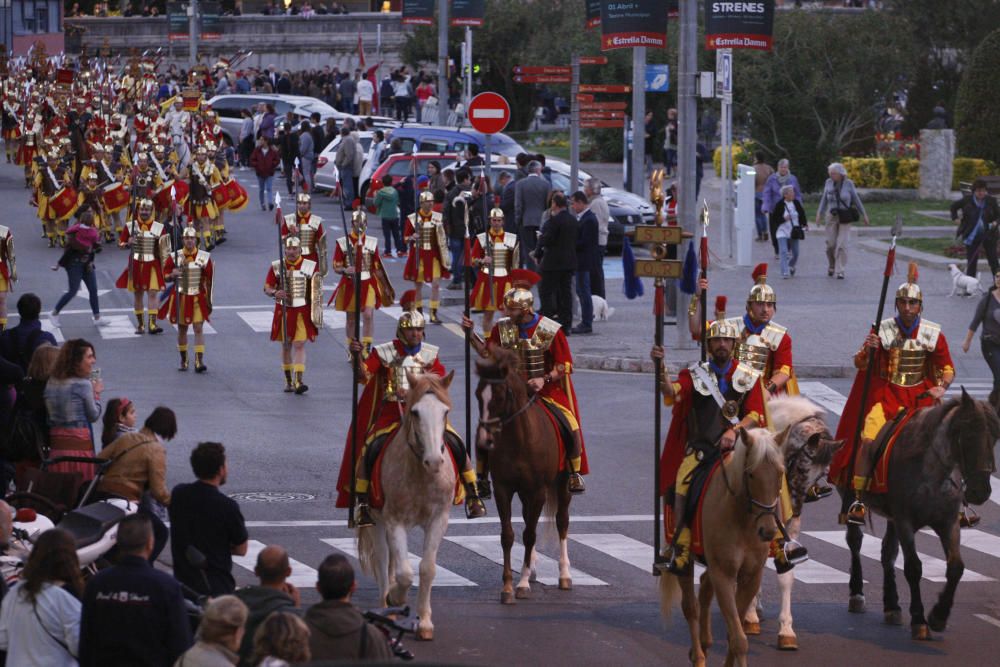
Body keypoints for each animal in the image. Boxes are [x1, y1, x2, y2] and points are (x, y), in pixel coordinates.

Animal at [358, 374, 456, 640]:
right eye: (415, 412)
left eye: (445, 412)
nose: (434, 462)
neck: (421, 474)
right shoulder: (394, 521)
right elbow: (404, 573)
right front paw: (394, 597)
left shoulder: (438, 520)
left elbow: (427, 568)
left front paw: (425, 623)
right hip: (376, 520)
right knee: (383, 562)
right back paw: (386, 607)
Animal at [474, 350, 576, 604]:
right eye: (478, 395)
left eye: (500, 396)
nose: (484, 440)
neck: (519, 440)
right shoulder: (504, 489)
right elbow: (508, 535)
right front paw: (508, 586)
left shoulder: (538, 490)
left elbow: (529, 534)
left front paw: (521, 585)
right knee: (529, 517)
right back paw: (532, 569)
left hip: (562, 484)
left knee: (562, 521)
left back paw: (564, 574)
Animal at [664, 428, 788, 667]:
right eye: (751, 474)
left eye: (779, 473)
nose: (768, 531)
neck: (742, 519)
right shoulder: (724, 574)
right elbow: (738, 639)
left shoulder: (751, 577)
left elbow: (734, 632)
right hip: (687, 559)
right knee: (690, 607)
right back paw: (698, 655)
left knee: (704, 588)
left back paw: (704, 643)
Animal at [744, 400, 844, 648]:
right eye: (802, 468)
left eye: (823, 473)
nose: (797, 507)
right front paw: (748, 616)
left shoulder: (788, 527)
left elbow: (786, 576)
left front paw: (786, 629)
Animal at [836, 392, 1000, 640]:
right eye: (969, 434)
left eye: (996, 436)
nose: (980, 491)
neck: (933, 473)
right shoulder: (905, 521)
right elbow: (913, 567)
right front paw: (920, 621)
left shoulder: (948, 523)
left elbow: (956, 567)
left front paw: (939, 616)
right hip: (851, 497)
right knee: (855, 541)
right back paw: (857, 594)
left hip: (892, 517)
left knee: (888, 553)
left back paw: (892, 606)